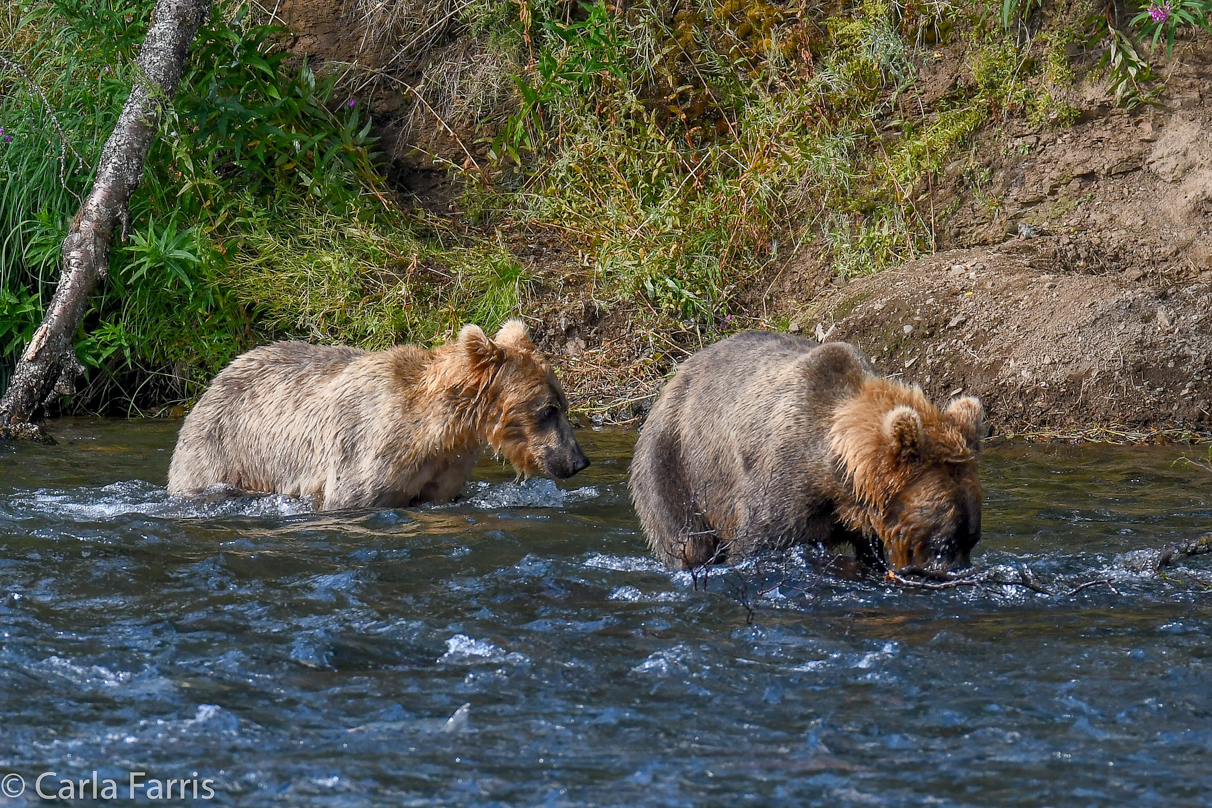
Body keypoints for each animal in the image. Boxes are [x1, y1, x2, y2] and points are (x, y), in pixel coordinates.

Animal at [168, 319, 589, 508]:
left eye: (564, 405)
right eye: (548, 409)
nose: (579, 460)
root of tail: (214, 381)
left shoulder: (445, 471)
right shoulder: (365, 451)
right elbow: (351, 493)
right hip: (220, 449)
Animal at [625, 331, 984, 571]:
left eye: (972, 538)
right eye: (943, 542)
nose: (958, 571)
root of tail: (676, 376)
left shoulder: (862, 523)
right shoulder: (782, 487)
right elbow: (756, 545)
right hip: (673, 464)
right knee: (687, 540)